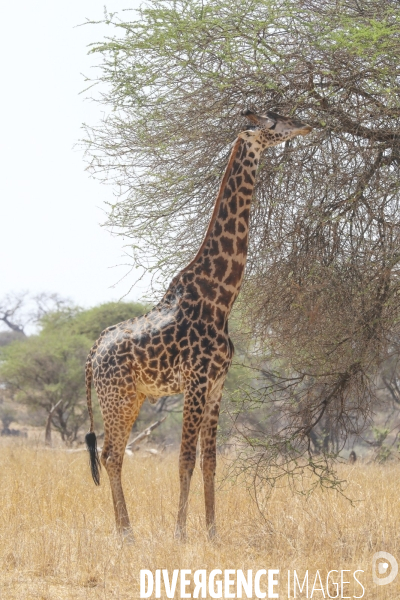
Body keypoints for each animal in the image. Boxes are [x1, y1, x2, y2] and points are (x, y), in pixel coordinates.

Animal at [85, 110, 312, 540]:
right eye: (274, 121)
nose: (306, 126)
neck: (220, 296)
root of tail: (91, 355)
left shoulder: (218, 382)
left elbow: (211, 460)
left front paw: (211, 531)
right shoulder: (196, 379)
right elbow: (185, 458)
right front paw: (180, 533)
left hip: (132, 397)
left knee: (111, 455)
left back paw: (126, 530)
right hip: (117, 397)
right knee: (110, 454)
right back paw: (126, 533)